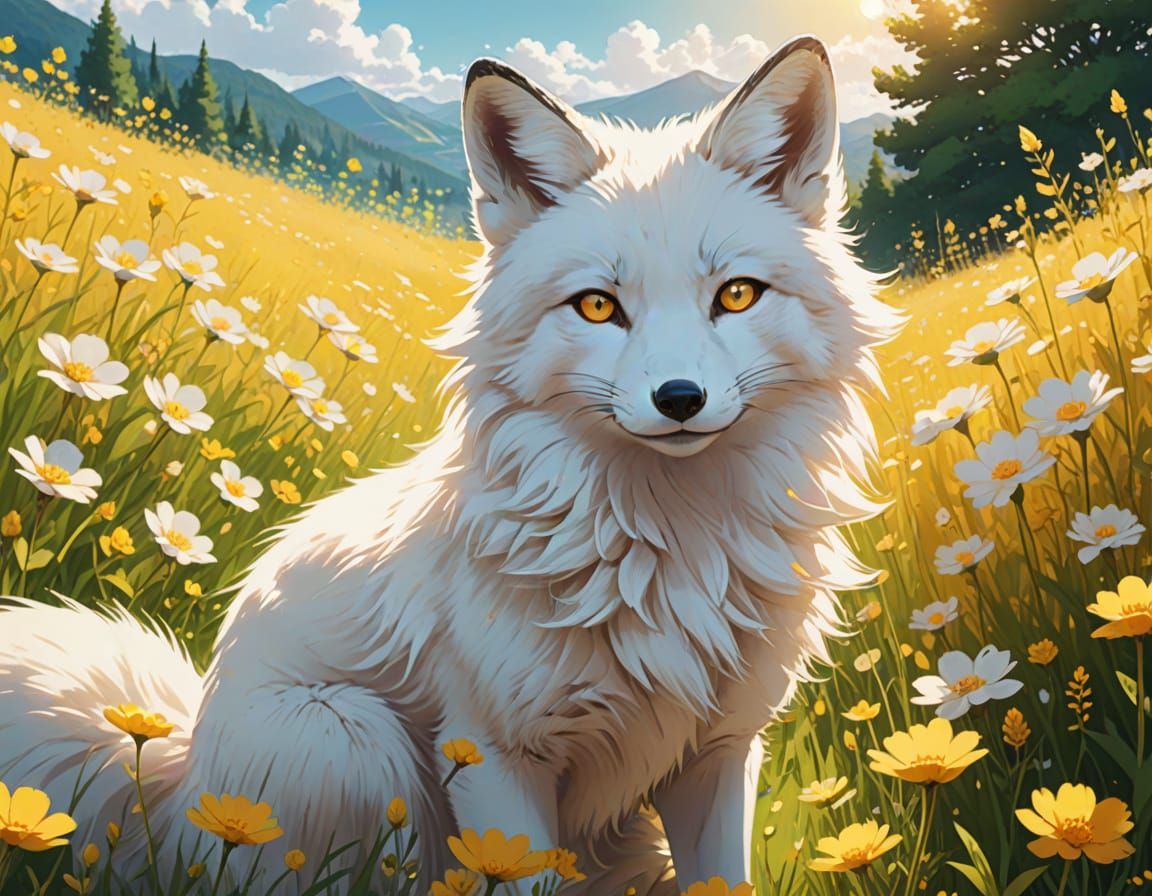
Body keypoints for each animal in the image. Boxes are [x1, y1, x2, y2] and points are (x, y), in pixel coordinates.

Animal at [0, 36, 900, 895]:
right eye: (598, 306)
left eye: (737, 296)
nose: (680, 398)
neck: (664, 552)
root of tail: (178, 777)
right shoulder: (491, 754)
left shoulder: (719, 752)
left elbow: (722, 877)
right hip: (356, 741)